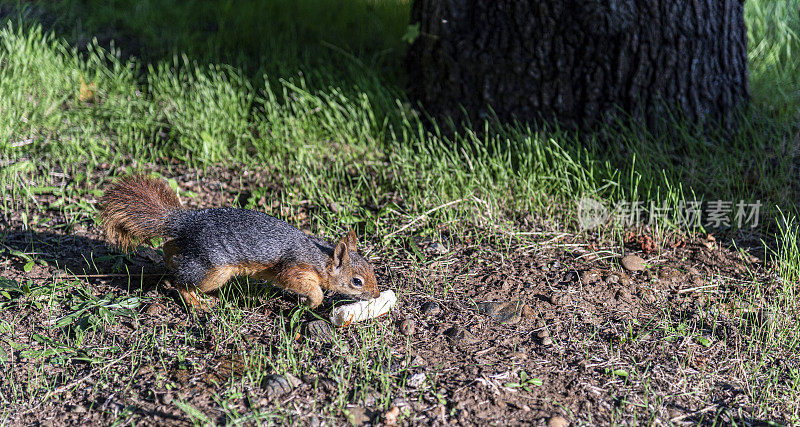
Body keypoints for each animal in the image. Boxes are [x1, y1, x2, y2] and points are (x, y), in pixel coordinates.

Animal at [98, 174, 380, 310]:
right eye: (357, 281)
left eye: (371, 269)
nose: (376, 294)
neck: (320, 258)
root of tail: (187, 222)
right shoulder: (296, 268)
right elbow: (308, 287)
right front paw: (312, 302)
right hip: (215, 271)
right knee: (182, 282)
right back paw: (197, 302)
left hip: (191, 251)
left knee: (169, 247)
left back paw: (169, 260)